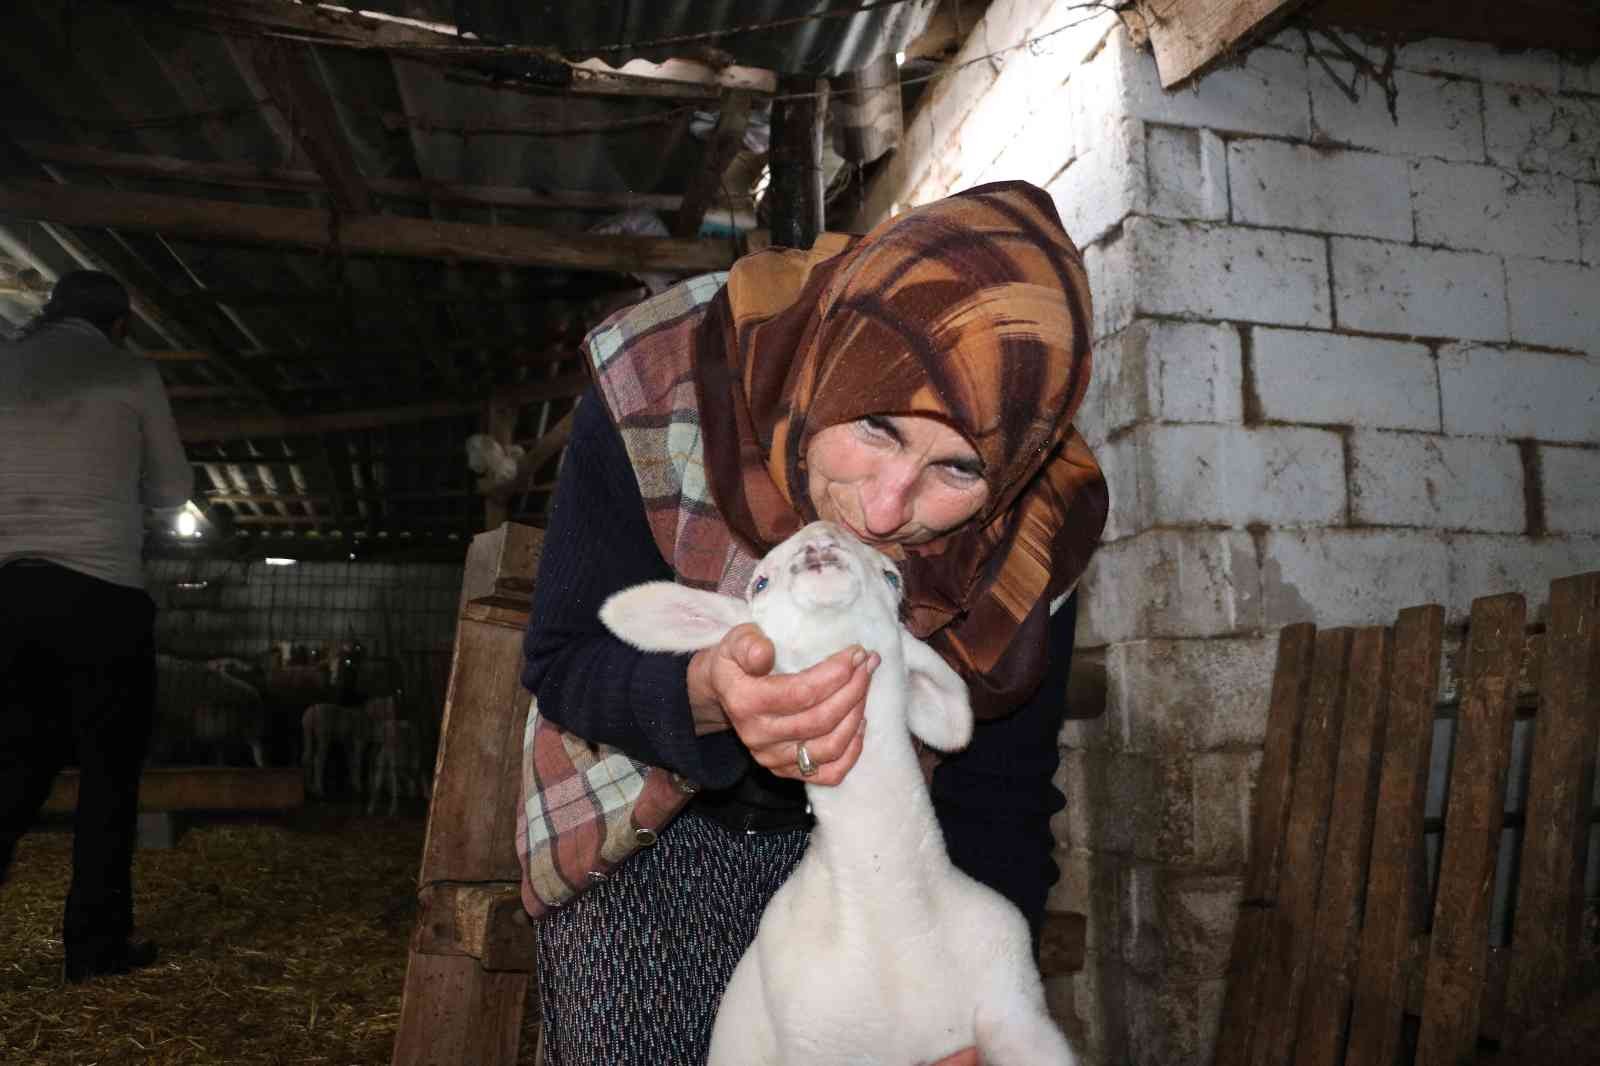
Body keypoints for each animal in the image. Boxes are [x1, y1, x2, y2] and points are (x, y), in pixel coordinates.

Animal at [601, 515, 1075, 1062]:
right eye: (759, 582)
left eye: (892, 577)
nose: (820, 539)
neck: (894, 917)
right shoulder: (815, 1038)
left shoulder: (1017, 1007)